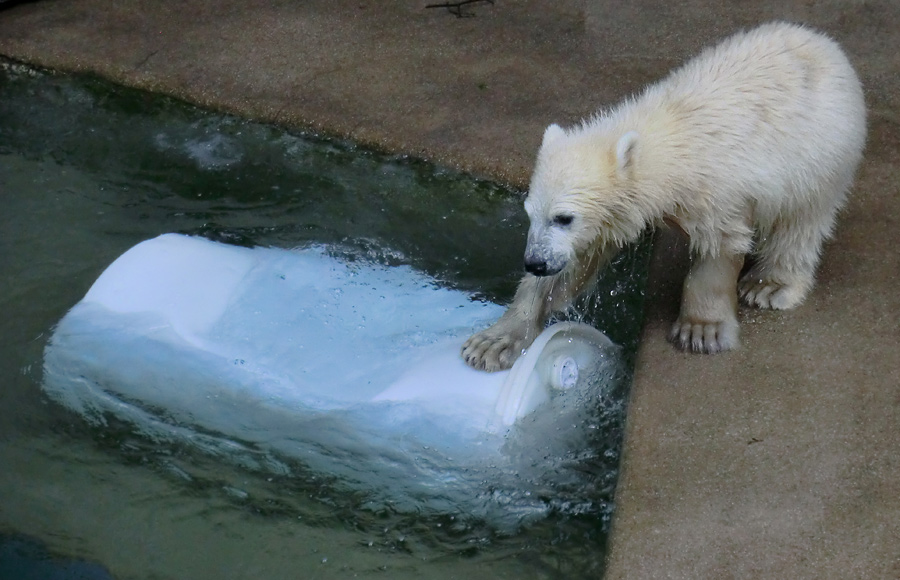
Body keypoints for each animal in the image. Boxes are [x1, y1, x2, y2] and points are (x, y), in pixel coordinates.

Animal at [464, 21, 864, 372]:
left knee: (802, 219)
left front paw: (701, 330)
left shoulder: (717, 190)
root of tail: (824, 43)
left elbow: (719, 246)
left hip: (818, 153)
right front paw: (493, 342)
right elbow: (574, 265)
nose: (535, 262)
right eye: (530, 213)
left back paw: (767, 286)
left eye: (564, 217)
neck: (666, 146)